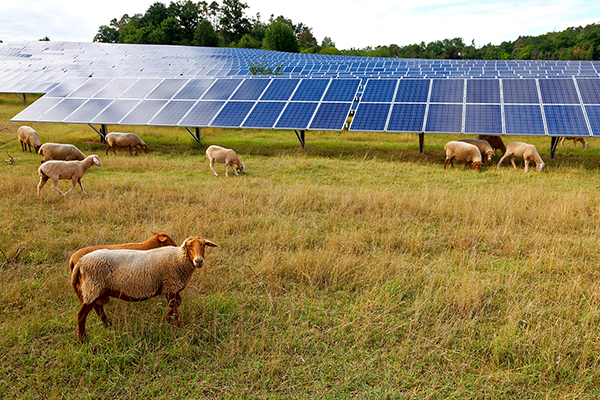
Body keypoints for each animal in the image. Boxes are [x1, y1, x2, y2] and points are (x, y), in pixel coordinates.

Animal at [72, 236, 218, 342]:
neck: (179, 259)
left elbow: (177, 304)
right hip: (92, 288)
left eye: (203, 245)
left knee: (99, 309)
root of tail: (80, 262)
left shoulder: (170, 288)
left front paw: (165, 319)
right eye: (189, 246)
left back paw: (108, 326)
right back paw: (82, 339)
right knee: (81, 315)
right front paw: (178, 327)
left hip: (98, 290)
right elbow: (175, 309)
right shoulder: (171, 286)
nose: (199, 261)